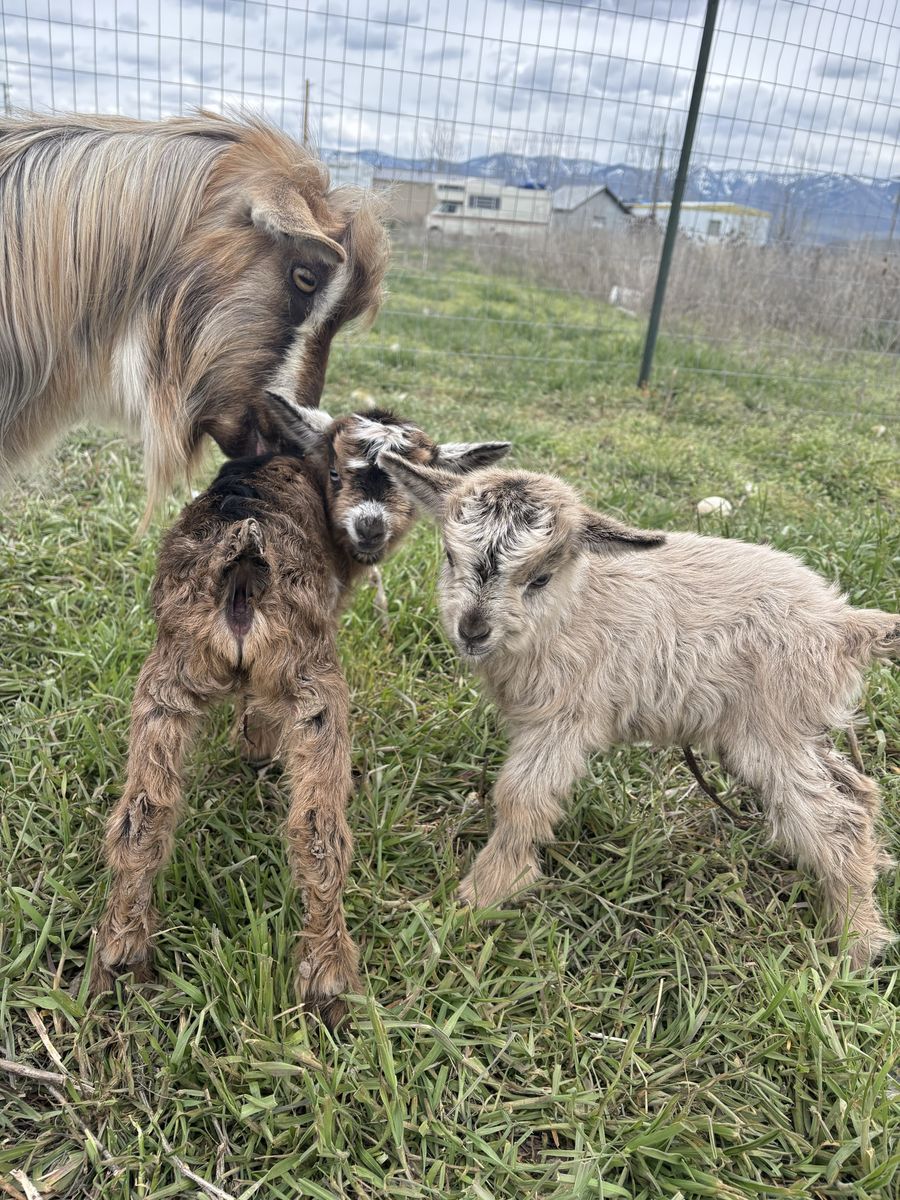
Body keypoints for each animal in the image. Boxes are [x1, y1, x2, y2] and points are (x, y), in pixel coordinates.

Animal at [90, 402, 509, 1027]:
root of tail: (243, 551)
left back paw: (118, 962)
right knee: (317, 830)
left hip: (167, 676)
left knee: (142, 816)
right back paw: (331, 982)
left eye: (405, 483)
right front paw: (257, 753)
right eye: (335, 473)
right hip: (314, 681)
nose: (369, 527)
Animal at [380, 456, 898, 968]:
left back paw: (857, 941)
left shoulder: (562, 720)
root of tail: (844, 624)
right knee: (858, 788)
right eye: (450, 557)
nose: (472, 631)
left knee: (836, 816)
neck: (574, 607)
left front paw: (485, 894)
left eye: (541, 577)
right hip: (796, 724)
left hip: (770, 730)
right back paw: (875, 871)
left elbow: (520, 798)